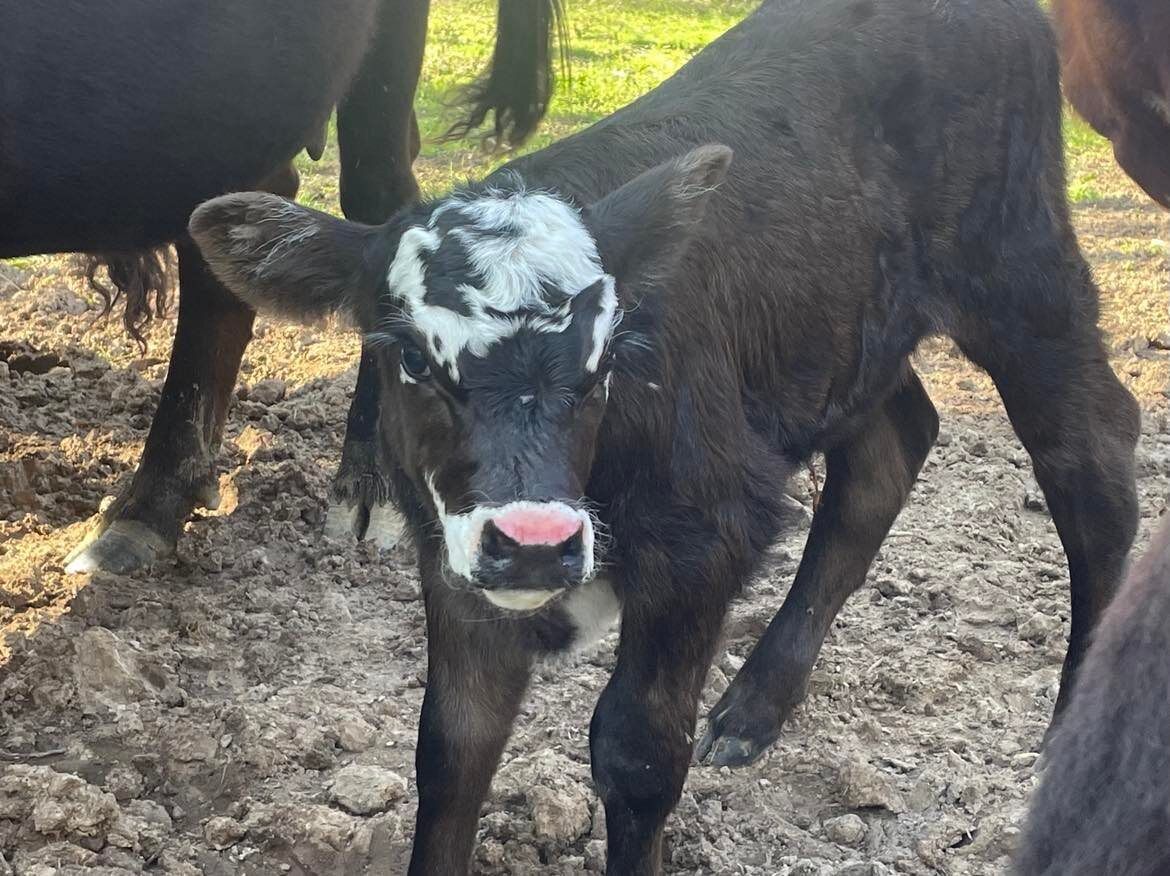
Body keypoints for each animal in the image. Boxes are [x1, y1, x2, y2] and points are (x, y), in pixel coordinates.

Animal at [188, 0, 1140, 871]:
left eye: (606, 357)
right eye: (410, 357)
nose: (535, 541)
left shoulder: (705, 537)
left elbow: (637, 754)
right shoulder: (453, 558)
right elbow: (452, 749)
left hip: (1020, 271)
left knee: (1094, 456)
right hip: (846, 321)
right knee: (891, 447)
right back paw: (754, 706)